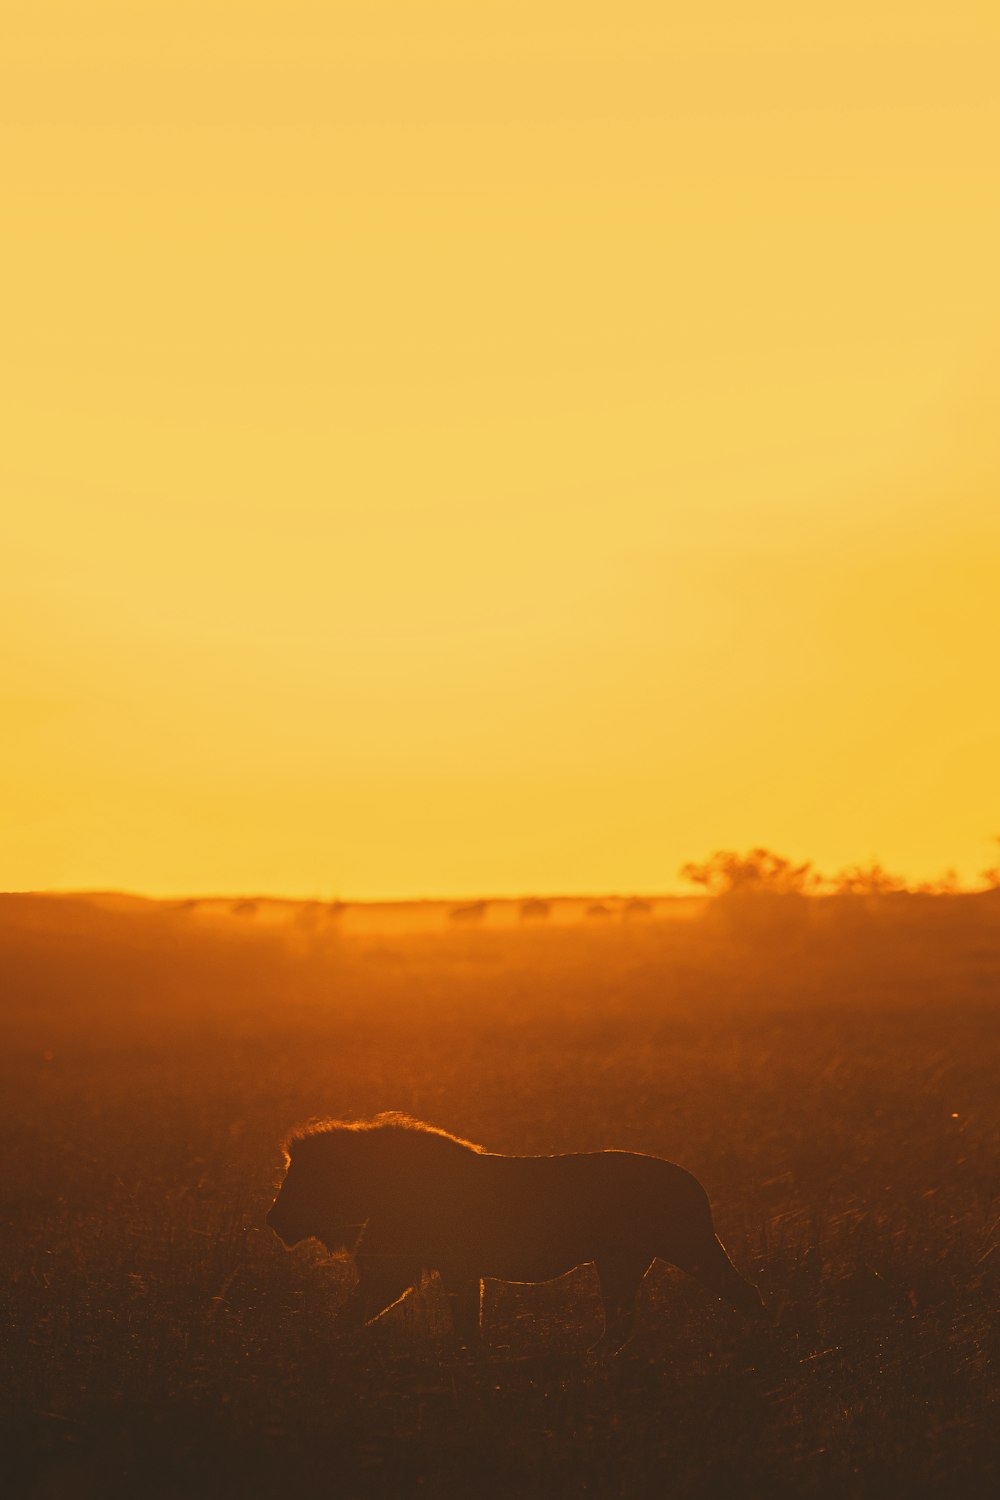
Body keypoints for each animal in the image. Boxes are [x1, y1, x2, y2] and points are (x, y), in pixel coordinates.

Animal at [265, 1116, 767, 1350]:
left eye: (300, 1178)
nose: (272, 1219)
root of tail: (692, 1180)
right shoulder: (453, 1268)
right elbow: (465, 1320)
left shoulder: (406, 1269)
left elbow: (357, 1311)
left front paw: (320, 1344)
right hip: (621, 1262)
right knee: (622, 1323)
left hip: (687, 1247)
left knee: (746, 1294)